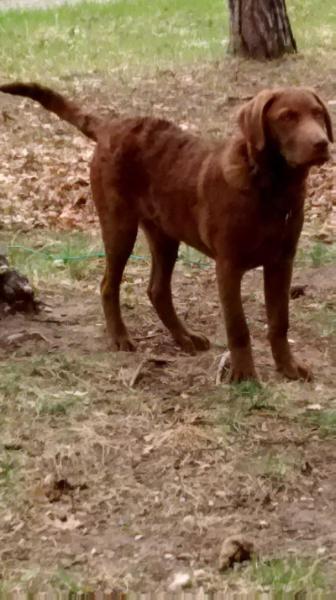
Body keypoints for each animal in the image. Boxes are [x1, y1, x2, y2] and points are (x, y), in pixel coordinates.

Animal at [0, 84, 330, 380]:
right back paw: (120, 338)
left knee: (157, 290)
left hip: (165, 234)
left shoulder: (282, 262)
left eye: (317, 114)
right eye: (287, 117)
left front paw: (288, 367)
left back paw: (184, 338)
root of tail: (112, 126)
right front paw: (244, 375)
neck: (272, 189)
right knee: (108, 285)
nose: (323, 143)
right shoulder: (228, 265)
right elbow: (238, 326)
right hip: (119, 225)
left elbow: (279, 322)